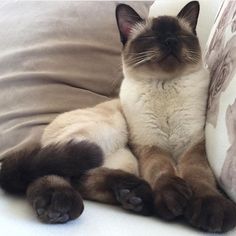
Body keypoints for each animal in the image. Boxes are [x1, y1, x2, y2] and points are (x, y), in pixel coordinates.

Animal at [0, 0, 236, 233]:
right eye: (151, 37)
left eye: (179, 35)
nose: (170, 41)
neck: (165, 85)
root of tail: (42, 136)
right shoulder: (150, 146)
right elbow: (162, 172)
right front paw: (172, 199)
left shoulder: (192, 146)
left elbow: (200, 178)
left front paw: (211, 210)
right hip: (105, 135)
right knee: (53, 172)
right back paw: (59, 206)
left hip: (124, 159)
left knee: (82, 178)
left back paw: (133, 197)